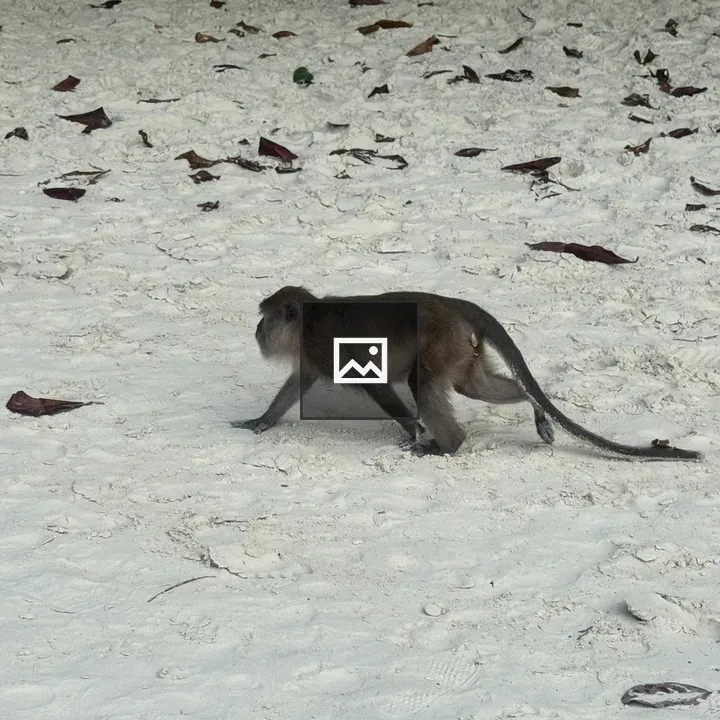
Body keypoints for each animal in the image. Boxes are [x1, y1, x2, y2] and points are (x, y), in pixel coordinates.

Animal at [231, 286, 702, 461]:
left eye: (264, 319)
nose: (255, 330)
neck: (308, 318)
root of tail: (454, 305)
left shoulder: (322, 345)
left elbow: (376, 383)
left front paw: (414, 432)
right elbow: (298, 384)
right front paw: (262, 421)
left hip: (443, 340)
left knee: (425, 384)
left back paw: (448, 445)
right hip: (462, 347)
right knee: (474, 385)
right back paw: (532, 408)